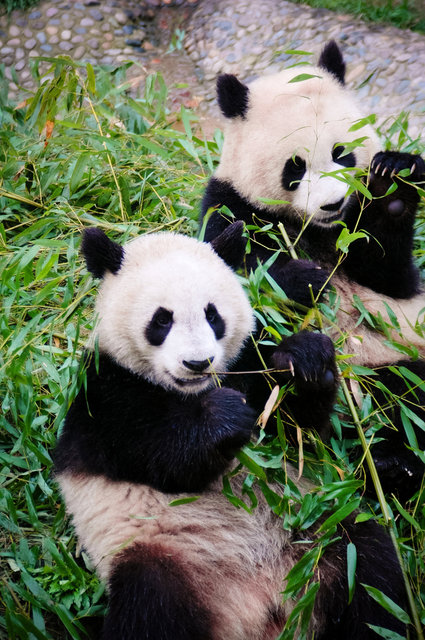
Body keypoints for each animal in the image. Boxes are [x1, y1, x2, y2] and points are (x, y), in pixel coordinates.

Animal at [54, 222, 406, 636]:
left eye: (213, 316)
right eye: (162, 320)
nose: (197, 363)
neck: (191, 391)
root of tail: (261, 610)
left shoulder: (244, 363)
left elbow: (294, 428)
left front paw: (303, 359)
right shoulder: (102, 395)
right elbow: (162, 454)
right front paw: (224, 417)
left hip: (322, 533)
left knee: (370, 573)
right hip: (167, 559)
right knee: (151, 609)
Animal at [201, 41, 424, 500]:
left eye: (342, 153)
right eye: (295, 166)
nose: (332, 203)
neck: (316, 232)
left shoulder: (359, 238)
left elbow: (393, 278)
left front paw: (393, 181)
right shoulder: (230, 207)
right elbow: (229, 274)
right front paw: (307, 281)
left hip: (398, 360)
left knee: (411, 399)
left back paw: (395, 465)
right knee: (250, 385)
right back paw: (305, 373)